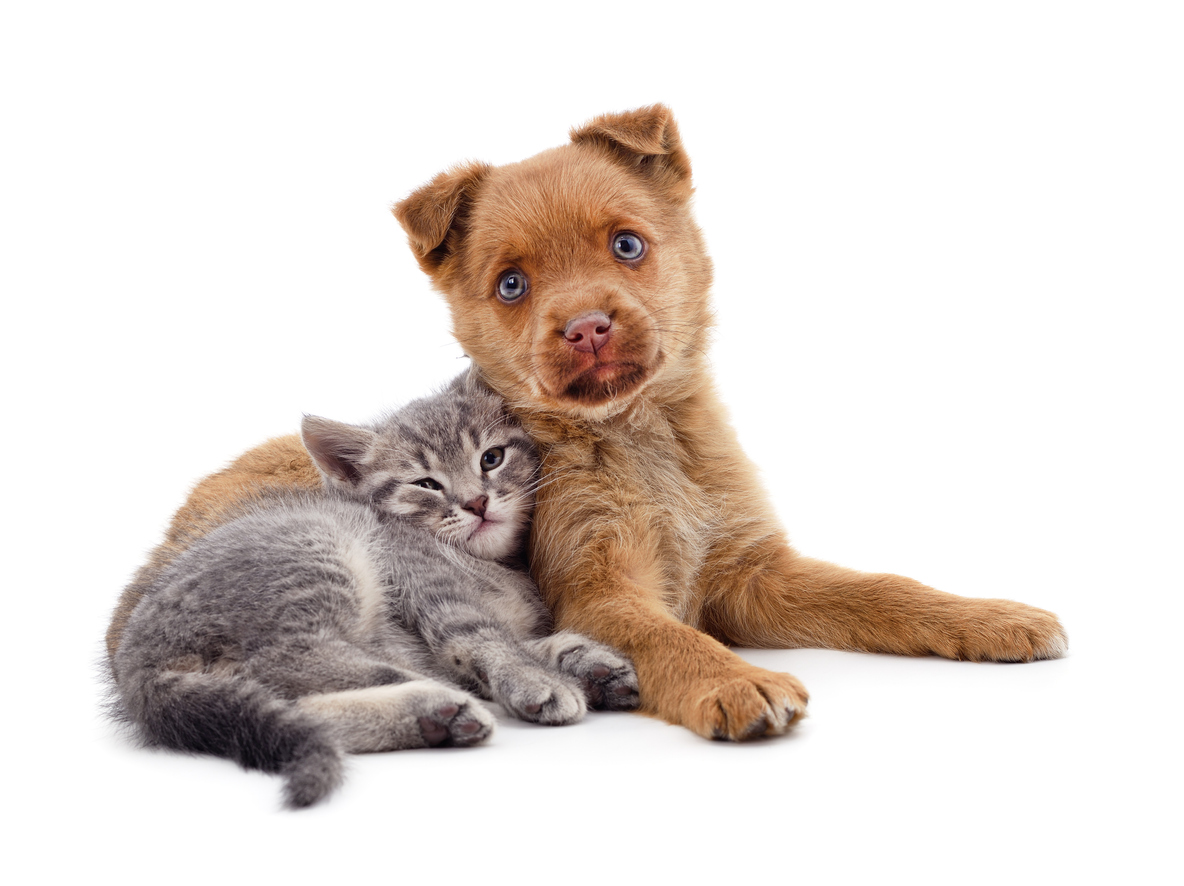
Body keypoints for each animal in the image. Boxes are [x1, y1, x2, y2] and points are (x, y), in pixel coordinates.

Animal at [113, 374, 639, 810]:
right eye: (426, 484)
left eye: (491, 458)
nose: (476, 502)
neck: (490, 564)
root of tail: (133, 662)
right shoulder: (426, 587)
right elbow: (487, 640)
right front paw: (537, 679)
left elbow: (532, 640)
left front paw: (589, 663)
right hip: (316, 552)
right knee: (285, 659)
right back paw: (435, 693)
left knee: (284, 703)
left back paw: (433, 716)